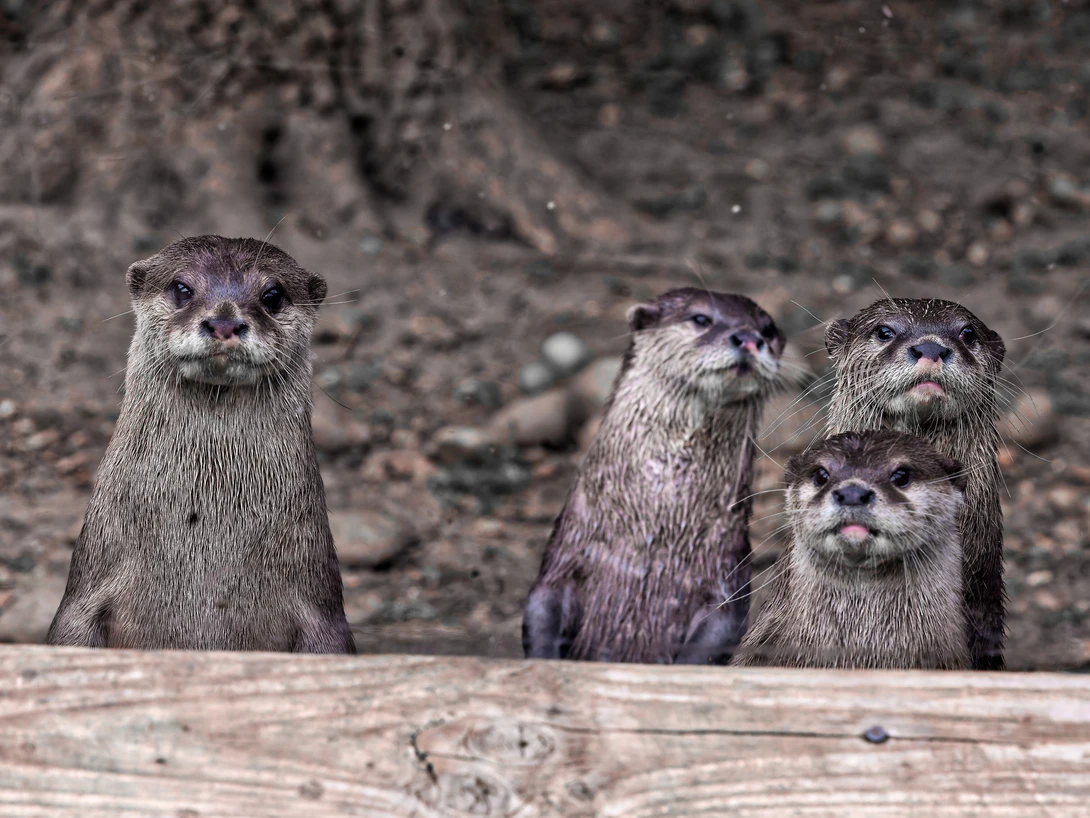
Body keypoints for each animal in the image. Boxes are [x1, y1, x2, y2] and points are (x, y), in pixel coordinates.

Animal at [523, 288, 803, 664]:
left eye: (768, 329)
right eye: (700, 318)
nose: (748, 338)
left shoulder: (726, 580)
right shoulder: (565, 557)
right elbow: (541, 607)